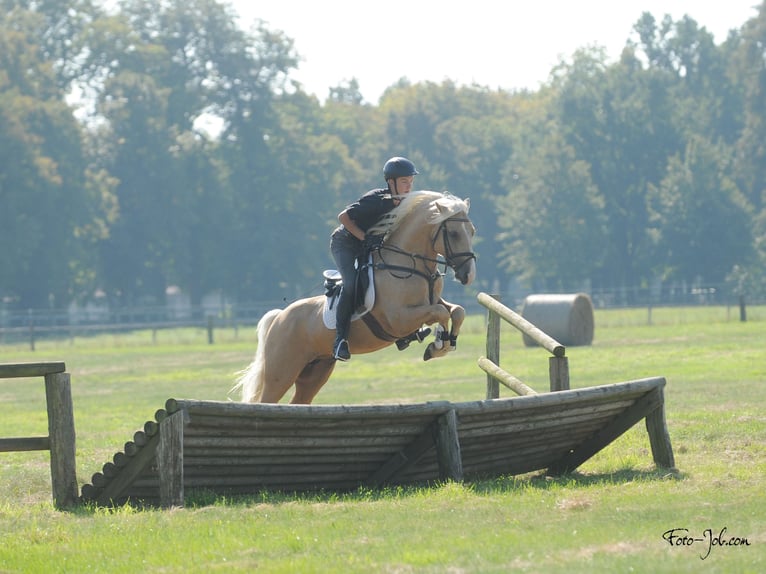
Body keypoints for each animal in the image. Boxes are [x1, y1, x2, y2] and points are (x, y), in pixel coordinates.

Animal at [234, 192, 476, 404]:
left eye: (472, 231)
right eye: (454, 233)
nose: (468, 275)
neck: (409, 264)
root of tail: (279, 318)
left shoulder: (432, 303)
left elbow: (457, 311)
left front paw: (446, 342)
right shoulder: (399, 319)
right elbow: (441, 313)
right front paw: (438, 344)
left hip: (315, 370)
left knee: (300, 401)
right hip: (281, 372)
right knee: (267, 400)